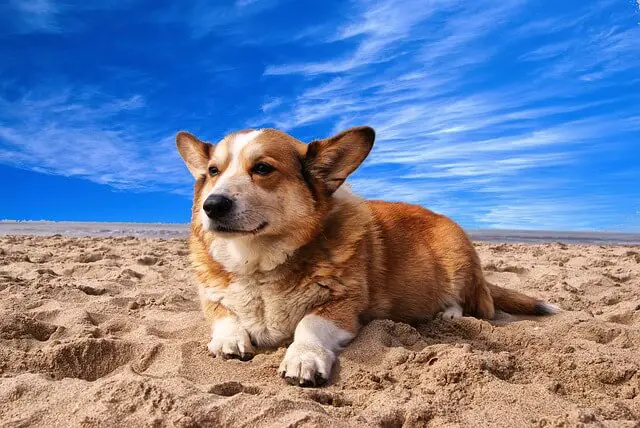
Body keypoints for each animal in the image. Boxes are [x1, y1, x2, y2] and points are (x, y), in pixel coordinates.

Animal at [175, 126, 556, 388]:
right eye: (213, 172)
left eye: (263, 169)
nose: (212, 206)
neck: (257, 261)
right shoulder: (211, 296)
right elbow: (225, 315)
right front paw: (229, 339)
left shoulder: (342, 306)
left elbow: (308, 323)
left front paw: (303, 358)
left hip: (456, 259)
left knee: (471, 303)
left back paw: (448, 314)